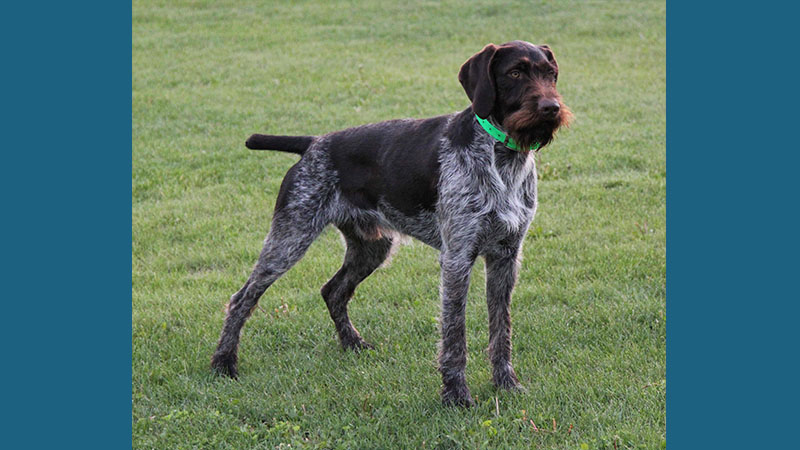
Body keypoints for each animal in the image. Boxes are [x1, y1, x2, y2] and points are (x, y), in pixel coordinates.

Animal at [212, 41, 568, 408]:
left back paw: (352, 344)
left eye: (550, 74)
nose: (551, 108)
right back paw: (224, 363)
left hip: (372, 247)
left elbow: (501, 328)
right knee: (242, 298)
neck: (503, 157)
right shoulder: (458, 257)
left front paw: (506, 383)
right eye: (515, 73)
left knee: (333, 290)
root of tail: (314, 143)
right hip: (290, 238)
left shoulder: (505, 257)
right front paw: (456, 395)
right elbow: (455, 334)